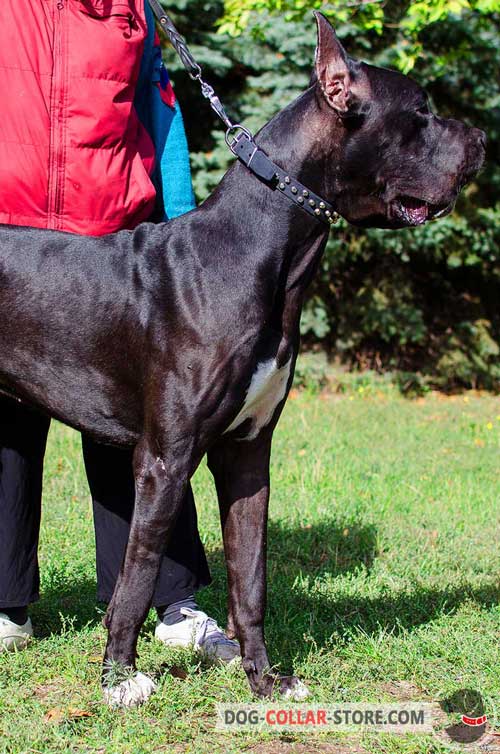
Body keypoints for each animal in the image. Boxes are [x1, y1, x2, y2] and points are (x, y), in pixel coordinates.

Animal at [0, 13, 486, 704]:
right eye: (420, 113)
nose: (481, 139)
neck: (266, 253)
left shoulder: (249, 452)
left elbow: (249, 575)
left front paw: (264, 678)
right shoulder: (164, 458)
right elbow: (136, 577)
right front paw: (118, 679)